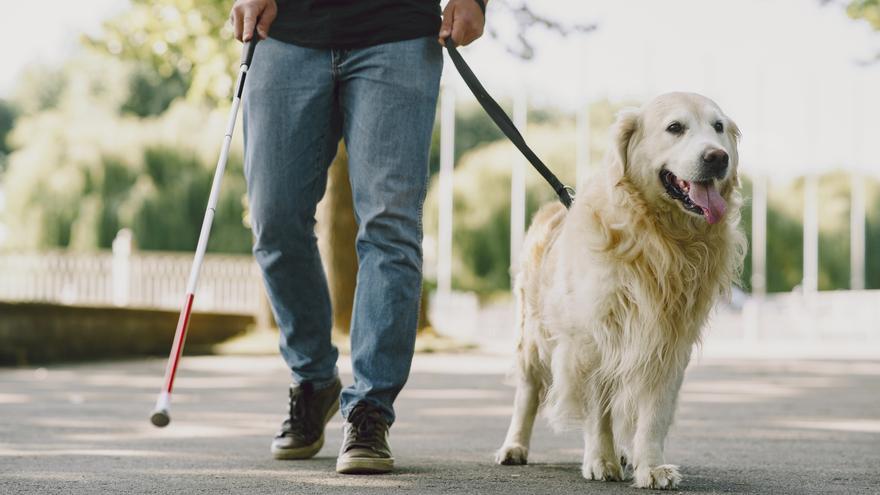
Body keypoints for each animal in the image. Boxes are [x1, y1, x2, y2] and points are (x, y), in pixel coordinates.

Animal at [496, 93, 744, 492]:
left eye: (718, 127)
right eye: (675, 127)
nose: (717, 157)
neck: (659, 238)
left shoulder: (669, 343)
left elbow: (653, 415)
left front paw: (651, 466)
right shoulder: (593, 340)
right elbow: (597, 411)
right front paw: (600, 460)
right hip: (533, 338)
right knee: (528, 393)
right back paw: (514, 447)